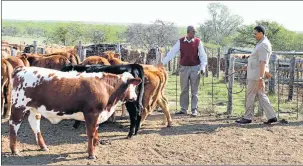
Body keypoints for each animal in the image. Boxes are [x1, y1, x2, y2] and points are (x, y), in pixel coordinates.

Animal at [9, 66, 142, 160]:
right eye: (132, 86)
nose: (135, 97)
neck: (106, 87)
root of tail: (22, 69)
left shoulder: (98, 115)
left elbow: (96, 130)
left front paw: (95, 145)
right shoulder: (91, 113)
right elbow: (91, 133)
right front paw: (91, 154)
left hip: (34, 109)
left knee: (35, 124)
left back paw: (43, 147)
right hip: (18, 106)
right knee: (14, 125)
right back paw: (14, 150)